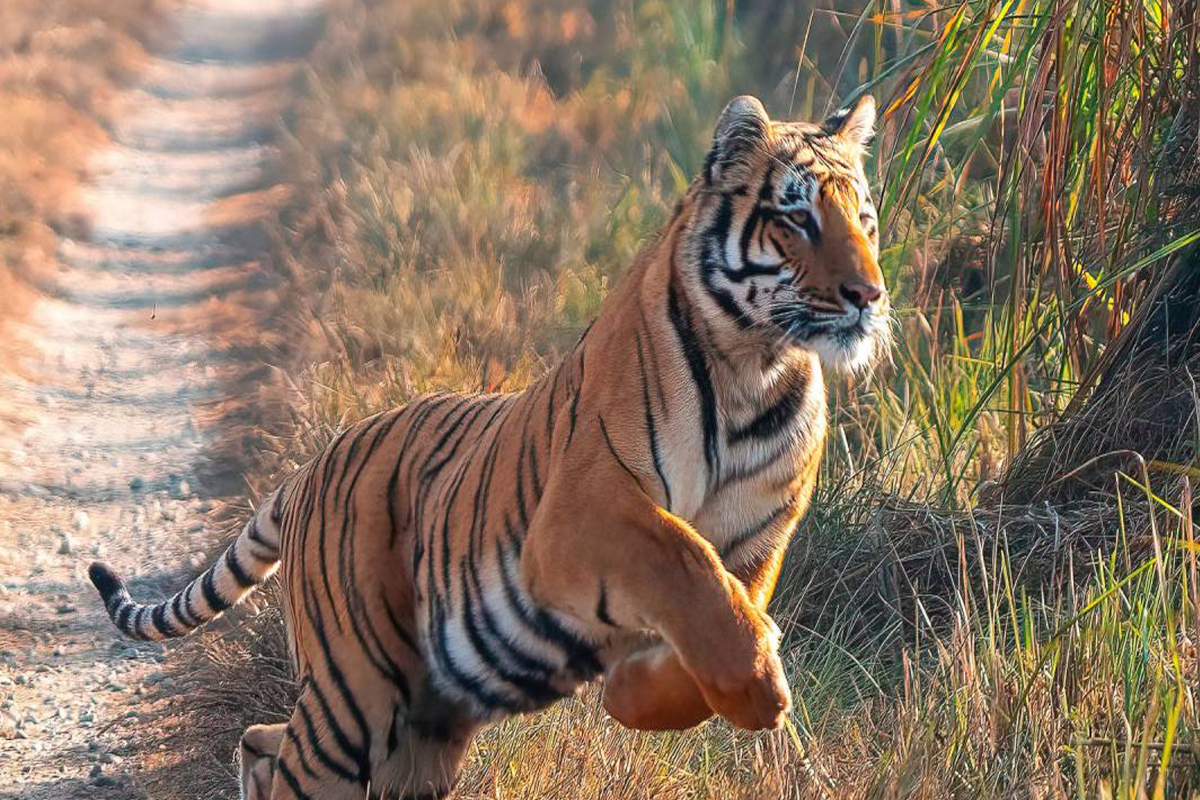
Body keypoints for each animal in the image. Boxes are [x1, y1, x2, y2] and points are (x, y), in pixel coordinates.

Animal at [88, 95, 888, 800]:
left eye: (864, 219)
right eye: (797, 217)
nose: (869, 296)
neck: (756, 367)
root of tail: (310, 470)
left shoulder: (756, 542)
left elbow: (715, 616)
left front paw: (643, 687)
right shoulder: (587, 510)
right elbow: (685, 560)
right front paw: (758, 688)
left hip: (419, 728)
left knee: (265, 740)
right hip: (354, 697)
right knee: (297, 763)